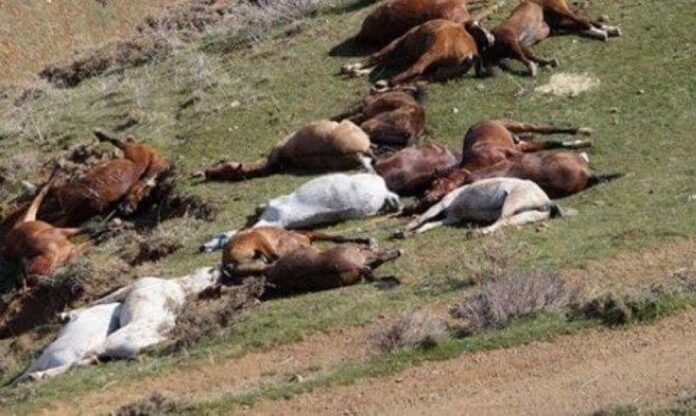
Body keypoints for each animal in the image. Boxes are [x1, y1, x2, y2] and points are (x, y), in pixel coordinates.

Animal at [341, 19, 495, 85]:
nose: (491, 38)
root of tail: (471, 54)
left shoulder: (399, 43)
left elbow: (377, 57)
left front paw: (351, 68)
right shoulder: (405, 56)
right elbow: (383, 62)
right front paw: (356, 71)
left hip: (433, 51)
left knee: (416, 69)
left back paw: (387, 82)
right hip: (439, 72)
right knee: (419, 78)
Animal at [400, 178, 564, 237]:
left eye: (432, 184)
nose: (421, 198)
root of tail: (547, 200)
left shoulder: (442, 205)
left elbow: (423, 217)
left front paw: (402, 231)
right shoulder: (451, 219)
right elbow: (428, 224)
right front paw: (411, 233)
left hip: (512, 201)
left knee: (502, 219)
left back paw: (477, 232)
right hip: (526, 215)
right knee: (505, 222)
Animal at [483, 0, 621, 76]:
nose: (488, 71)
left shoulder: (511, 39)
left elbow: (522, 56)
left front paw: (532, 68)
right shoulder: (520, 44)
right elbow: (528, 55)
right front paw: (548, 62)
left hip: (561, 11)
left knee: (583, 21)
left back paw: (603, 32)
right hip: (561, 20)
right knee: (583, 21)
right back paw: (610, 30)